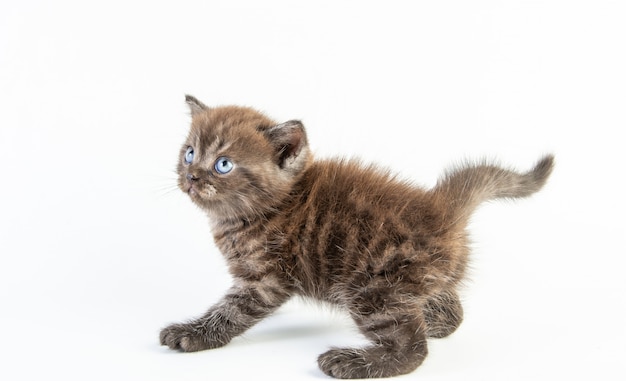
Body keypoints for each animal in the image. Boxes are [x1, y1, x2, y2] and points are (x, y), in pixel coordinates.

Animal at [160, 95, 552, 378]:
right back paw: (431, 322)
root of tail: (441, 208)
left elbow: (230, 312)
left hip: (372, 288)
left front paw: (193, 333)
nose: (191, 176)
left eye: (223, 164)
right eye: (189, 153)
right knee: (451, 311)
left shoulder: (265, 279)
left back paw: (354, 361)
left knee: (413, 347)